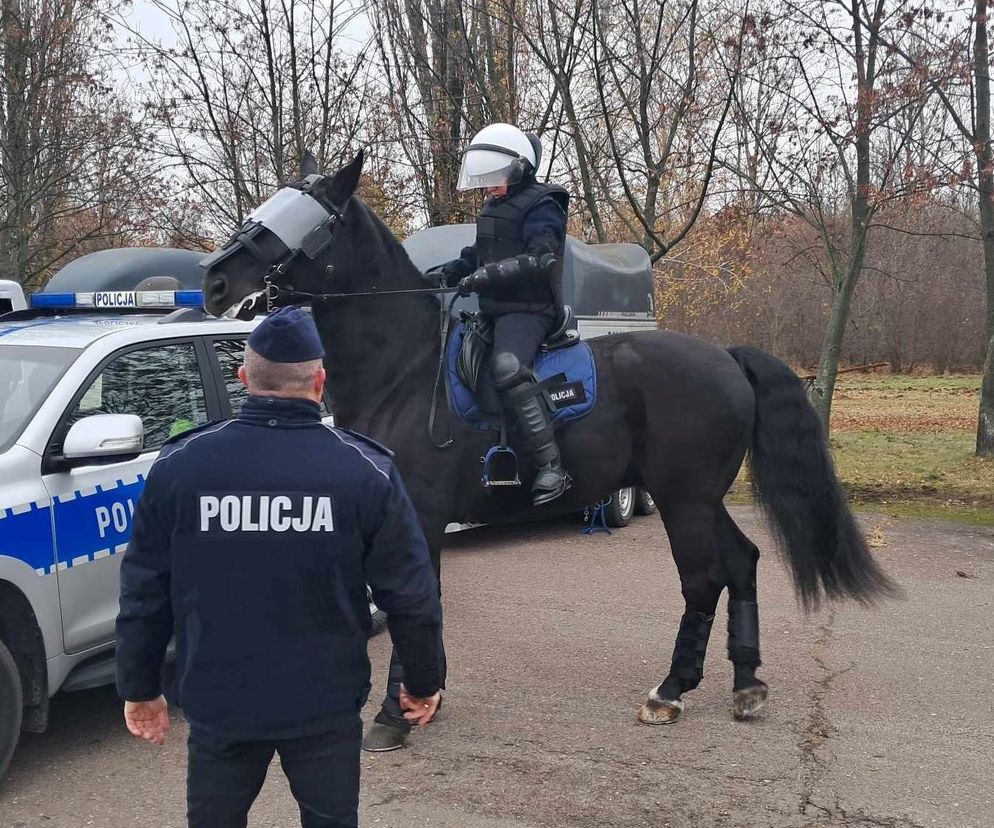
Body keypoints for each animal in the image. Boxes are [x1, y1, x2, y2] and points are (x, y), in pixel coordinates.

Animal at [200, 152, 892, 748]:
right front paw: (426, 699)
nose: (214, 282)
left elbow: (414, 603)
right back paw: (746, 682)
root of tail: (725, 355)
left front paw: (399, 711)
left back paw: (671, 691)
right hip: (696, 498)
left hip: (684, 501)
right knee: (743, 562)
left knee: (704, 580)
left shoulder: (418, 513)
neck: (404, 367)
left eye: (306, 221)